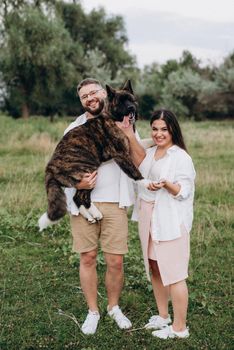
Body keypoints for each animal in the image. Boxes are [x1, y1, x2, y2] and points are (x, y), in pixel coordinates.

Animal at [38, 80, 146, 231]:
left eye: (131, 100)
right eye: (120, 102)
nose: (131, 108)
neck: (113, 118)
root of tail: (50, 168)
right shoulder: (121, 155)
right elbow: (135, 172)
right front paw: (147, 183)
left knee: (78, 198)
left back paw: (92, 216)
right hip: (88, 173)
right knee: (80, 197)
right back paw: (94, 214)